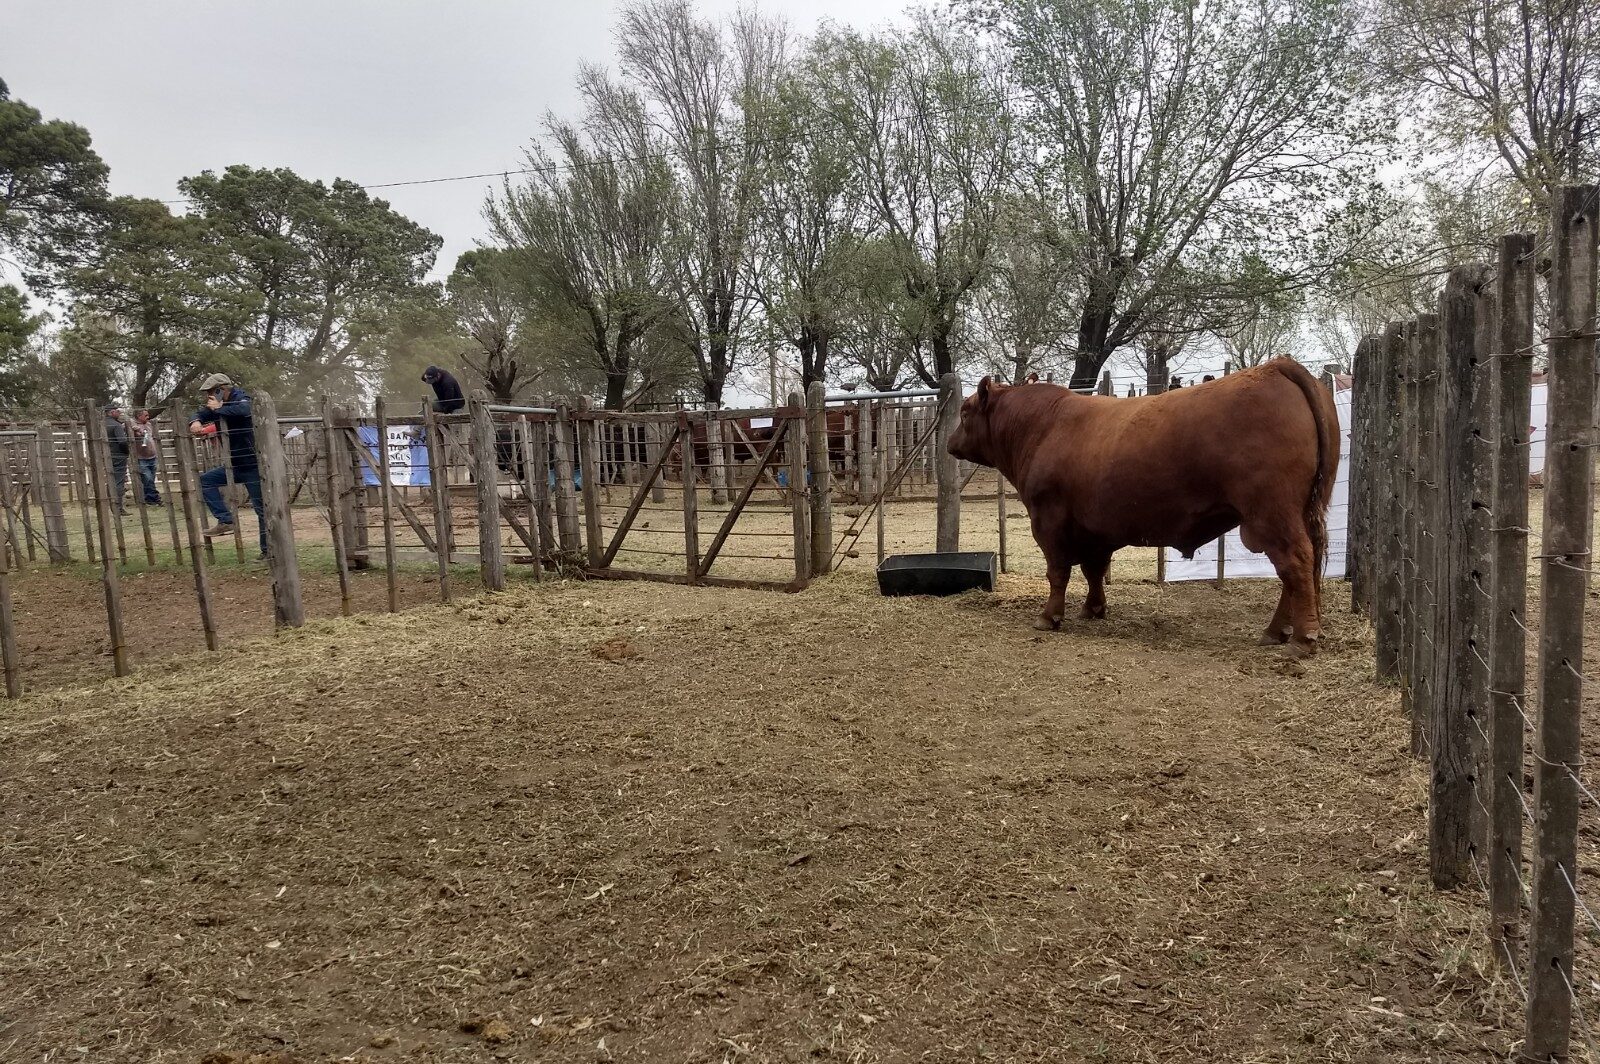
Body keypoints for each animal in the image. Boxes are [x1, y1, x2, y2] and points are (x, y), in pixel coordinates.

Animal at [947, 358, 1337, 656]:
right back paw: (1278, 631)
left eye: (965, 413)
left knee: (1295, 563)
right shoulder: (1095, 527)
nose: (951, 443)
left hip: (1272, 514)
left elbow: (1058, 572)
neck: (1042, 426)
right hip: (1303, 510)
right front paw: (1093, 608)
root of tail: (1277, 366)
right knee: (1300, 567)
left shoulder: (1049, 520)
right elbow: (1093, 568)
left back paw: (1301, 639)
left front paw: (1049, 616)